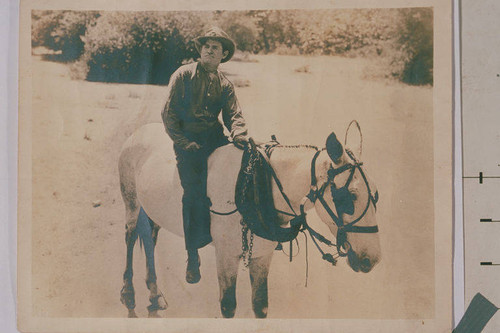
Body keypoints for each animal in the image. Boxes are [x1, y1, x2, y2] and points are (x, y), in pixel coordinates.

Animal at [119, 122, 380, 316]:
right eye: (350, 196)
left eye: (376, 194)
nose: (373, 259)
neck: (258, 183)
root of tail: (141, 130)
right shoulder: (226, 256)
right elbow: (228, 307)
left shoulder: (262, 256)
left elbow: (260, 306)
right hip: (132, 202)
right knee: (131, 237)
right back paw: (129, 293)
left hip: (152, 210)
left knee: (150, 240)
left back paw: (155, 293)